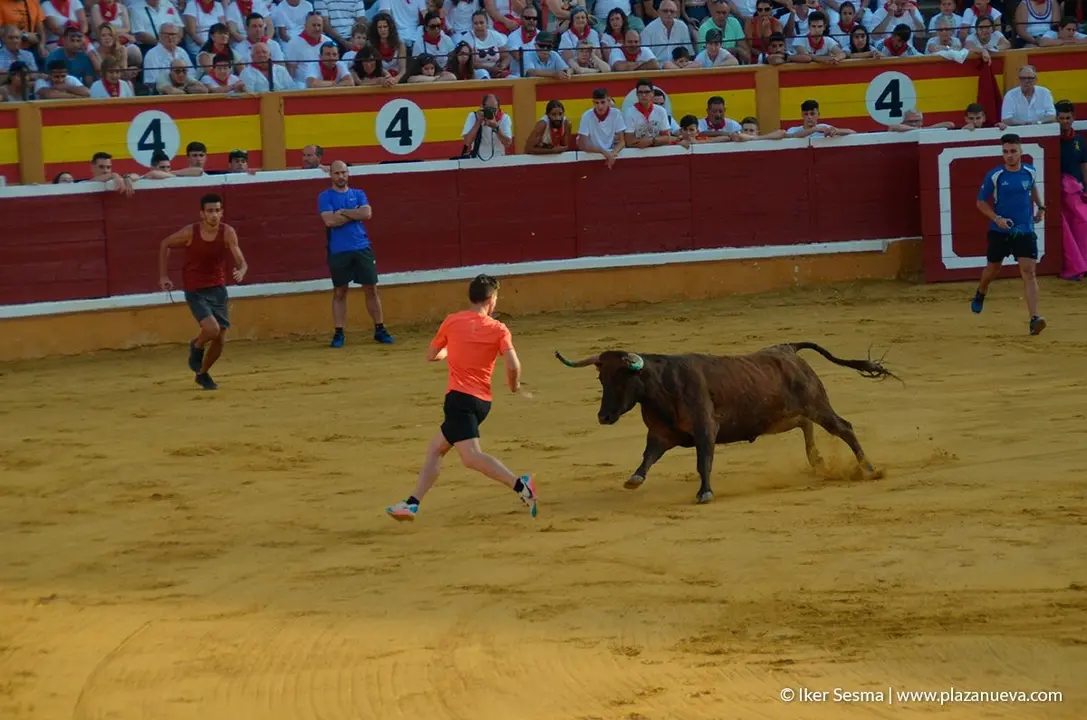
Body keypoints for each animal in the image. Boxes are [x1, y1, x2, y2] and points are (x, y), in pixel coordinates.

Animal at [555, 342, 898, 504]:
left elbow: (703, 460)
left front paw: (704, 493)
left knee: (844, 428)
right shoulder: (661, 433)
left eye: (621, 378)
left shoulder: (705, 428)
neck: (661, 386)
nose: (603, 416)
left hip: (817, 404)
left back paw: (868, 468)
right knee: (806, 425)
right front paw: (634, 479)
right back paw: (818, 461)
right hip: (784, 415)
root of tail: (788, 348)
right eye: (601, 378)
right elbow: (648, 457)